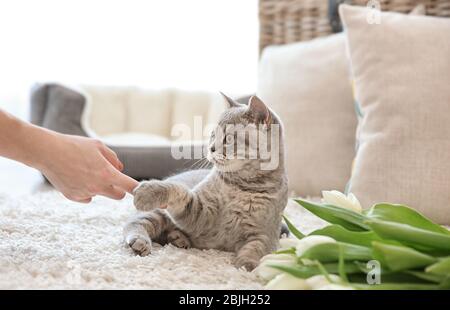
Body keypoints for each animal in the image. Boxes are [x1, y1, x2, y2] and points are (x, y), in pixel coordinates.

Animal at [122, 93, 288, 270]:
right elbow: (178, 192)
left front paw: (245, 266)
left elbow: (257, 248)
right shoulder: (201, 214)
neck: (242, 186)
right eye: (213, 134)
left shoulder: (265, 232)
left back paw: (178, 238)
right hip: (158, 213)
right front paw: (149, 191)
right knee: (135, 222)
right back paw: (141, 241)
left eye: (229, 138)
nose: (211, 148)